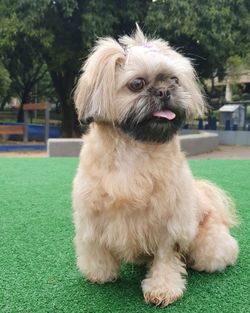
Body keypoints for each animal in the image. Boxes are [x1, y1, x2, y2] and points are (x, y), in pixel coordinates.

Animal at [72, 25, 238, 306]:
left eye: (174, 80)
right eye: (137, 84)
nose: (164, 92)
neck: (134, 148)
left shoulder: (168, 222)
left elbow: (166, 258)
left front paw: (163, 288)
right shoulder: (92, 212)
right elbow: (95, 246)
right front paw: (99, 272)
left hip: (209, 247)